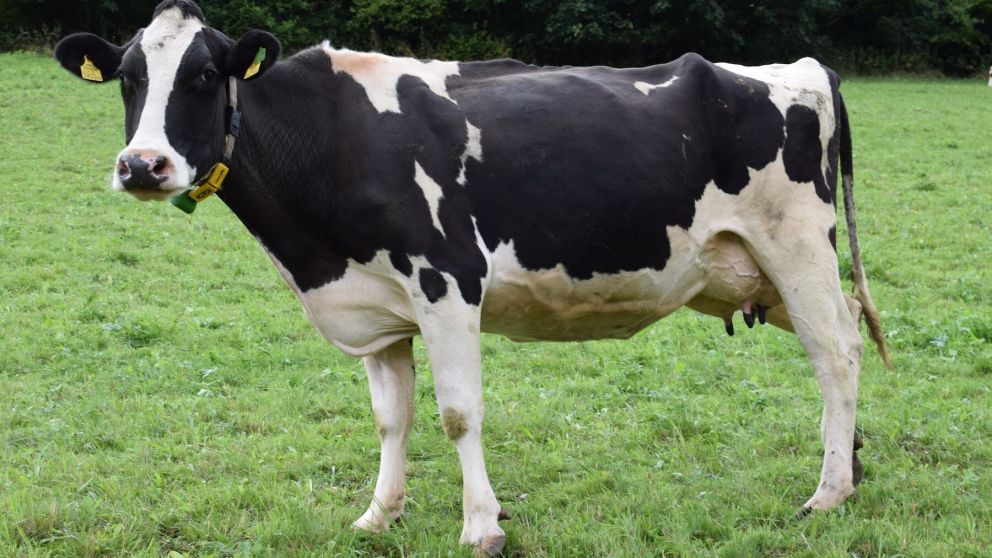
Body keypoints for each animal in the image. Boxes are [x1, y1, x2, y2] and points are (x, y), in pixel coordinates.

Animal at [54, 1, 891, 554]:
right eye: (127, 78)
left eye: (203, 75)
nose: (142, 166)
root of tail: (801, 68)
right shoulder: (377, 309)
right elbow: (391, 418)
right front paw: (379, 515)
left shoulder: (447, 283)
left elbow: (458, 413)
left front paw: (481, 525)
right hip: (757, 273)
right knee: (848, 333)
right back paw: (850, 467)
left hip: (797, 249)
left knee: (837, 354)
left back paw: (826, 494)